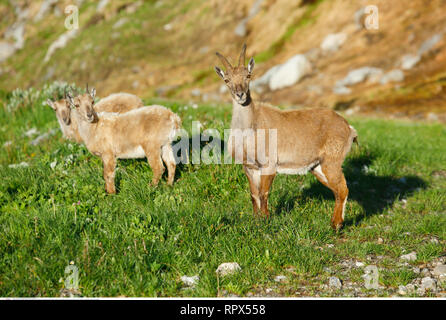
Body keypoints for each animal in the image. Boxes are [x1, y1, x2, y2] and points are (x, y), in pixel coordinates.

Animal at [214, 45, 358, 230]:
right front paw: (256, 221)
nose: (240, 95)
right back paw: (336, 222)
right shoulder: (249, 167)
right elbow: (253, 195)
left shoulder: (268, 165)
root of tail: (348, 128)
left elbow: (263, 193)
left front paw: (265, 222)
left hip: (332, 161)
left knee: (343, 189)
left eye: (248, 75)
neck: (251, 127)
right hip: (318, 167)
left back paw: (336, 225)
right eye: (227, 80)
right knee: (337, 190)